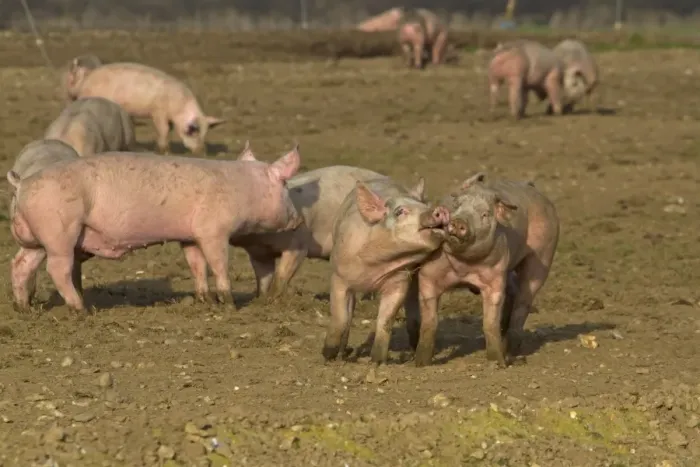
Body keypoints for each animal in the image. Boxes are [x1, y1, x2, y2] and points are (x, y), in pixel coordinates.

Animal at [6, 144, 303, 313]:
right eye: (285, 185)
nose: (299, 219)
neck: (243, 189)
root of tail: (22, 184)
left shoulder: (189, 236)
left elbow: (196, 264)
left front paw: (204, 301)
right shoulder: (213, 230)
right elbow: (218, 264)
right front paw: (229, 306)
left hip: (37, 239)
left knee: (20, 264)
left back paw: (23, 309)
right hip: (60, 232)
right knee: (57, 269)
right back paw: (81, 311)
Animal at [66, 62, 225, 155]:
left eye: (205, 133)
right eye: (192, 131)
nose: (202, 153)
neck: (178, 108)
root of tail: (86, 80)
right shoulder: (158, 112)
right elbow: (163, 130)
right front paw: (164, 152)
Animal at [232, 143, 391, 298]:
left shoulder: (298, 243)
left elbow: (282, 274)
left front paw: (272, 299)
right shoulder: (258, 254)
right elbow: (263, 279)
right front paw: (260, 299)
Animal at [321, 178, 451, 365]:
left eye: (424, 205)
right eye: (400, 211)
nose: (440, 209)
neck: (375, 266)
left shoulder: (399, 281)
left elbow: (385, 319)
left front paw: (377, 361)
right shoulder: (339, 277)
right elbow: (340, 316)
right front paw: (328, 356)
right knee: (350, 312)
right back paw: (342, 354)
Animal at [404, 172, 560, 367]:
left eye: (485, 214)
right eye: (456, 206)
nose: (459, 221)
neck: (463, 266)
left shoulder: (495, 277)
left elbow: (489, 321)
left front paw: (499, 363)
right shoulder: (428, 275)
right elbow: (429, 322)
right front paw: (420, 364)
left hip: (543, 256)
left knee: (524, 299)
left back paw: (512, 352)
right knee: (514, 291)